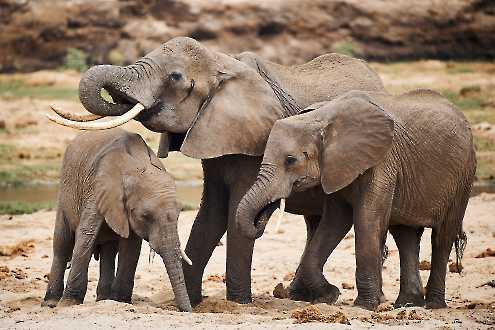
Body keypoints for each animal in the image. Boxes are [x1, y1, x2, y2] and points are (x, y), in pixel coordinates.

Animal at [41, 129, 193, 312]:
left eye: (179, 214)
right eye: (145, 216)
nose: (188, 311)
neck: (135, 167)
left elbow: (131, 248)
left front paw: (121, 301)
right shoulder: (97, 191)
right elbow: (86, 237)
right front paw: (69, 304)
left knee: (109, 250)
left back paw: (104, 300)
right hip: (64, 194)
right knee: (62, 245)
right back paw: (51, 303)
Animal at [238, 89, 478, 310]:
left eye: (290, 160)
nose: (267, 210)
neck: (322, 117)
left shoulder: (382, 160)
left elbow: (365, 221)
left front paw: (364, 306)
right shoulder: (337, 167)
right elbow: (334, 223)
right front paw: (330, 295)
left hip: (463, 176)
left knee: (442, 237)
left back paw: (434, 305)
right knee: (406, 236)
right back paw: (408, 304)